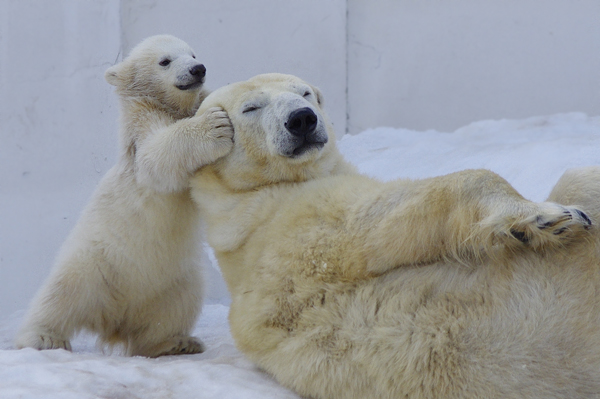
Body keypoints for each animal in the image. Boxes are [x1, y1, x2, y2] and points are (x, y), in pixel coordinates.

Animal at [15, 36, 233, 358]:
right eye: (165, 61)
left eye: (193, 54)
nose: (198, 69)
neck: (168, 107)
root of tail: (114, 319)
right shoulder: (141, 129)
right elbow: (155, 157)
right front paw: (216, 125)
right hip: (93, 263)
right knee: (59, 295)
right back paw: (42, 337)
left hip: (173, 280)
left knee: (177, 305)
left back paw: (174, 342)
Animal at [190, 73, 600, 398]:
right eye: (251, 107)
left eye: (305, 92)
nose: (302, 119)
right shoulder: (294, 224)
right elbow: (379, 222)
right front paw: (546, 217)